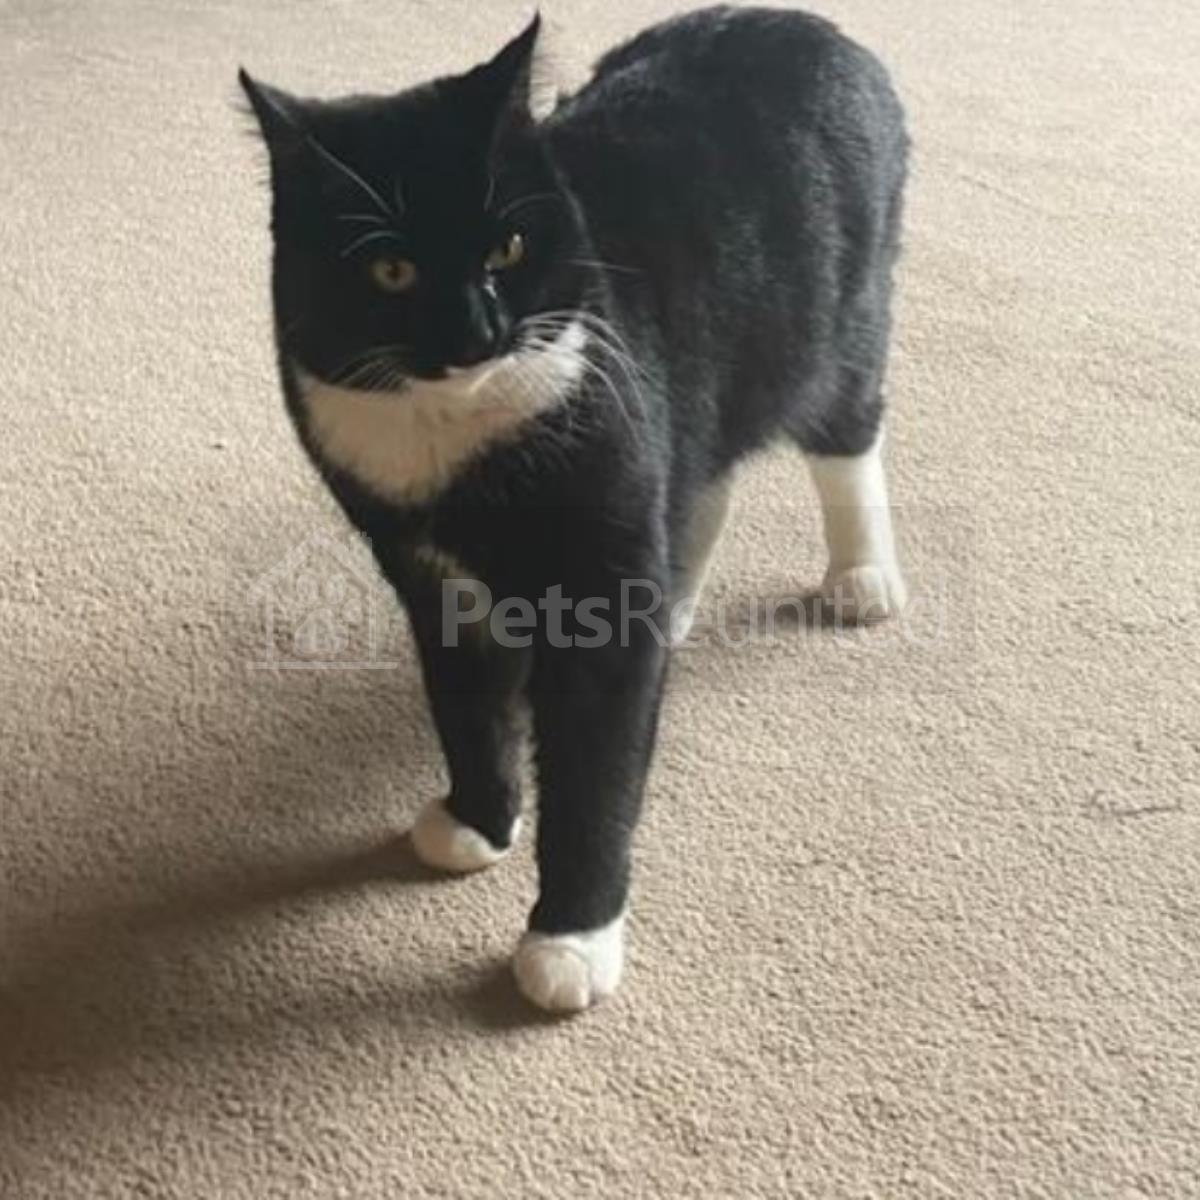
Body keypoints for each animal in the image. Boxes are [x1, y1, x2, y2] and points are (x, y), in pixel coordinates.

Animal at [240, 6, 908, 1012]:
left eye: (508, 248)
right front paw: (477, 822)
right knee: (703, 483)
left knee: (846, 429)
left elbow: (597, 770)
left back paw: (863, 575)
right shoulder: (427, 574)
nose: (477, 330)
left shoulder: (603, 529)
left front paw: (570, 942)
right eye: (390, 270)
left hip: (837, 316)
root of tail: (801, 23)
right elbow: (466, 704)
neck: (459, 444)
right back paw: (677, 600)